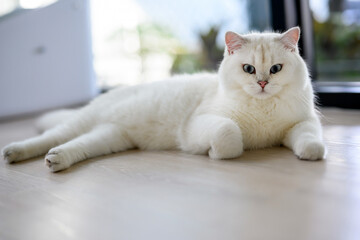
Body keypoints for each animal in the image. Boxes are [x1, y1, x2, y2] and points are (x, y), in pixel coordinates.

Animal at [1, 27, 326, 172]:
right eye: (248, 69)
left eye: (275, 69)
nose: (262, 83)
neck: (262, 108)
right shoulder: (200, 124)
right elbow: (229, 135)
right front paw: (216, 153)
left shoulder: (301, 124)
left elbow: (312, 140)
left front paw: (310, 153)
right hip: (80, 124)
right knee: (49, 137)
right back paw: (15, 152)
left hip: (109, 138)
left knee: (75, 146)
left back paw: (57, 160)